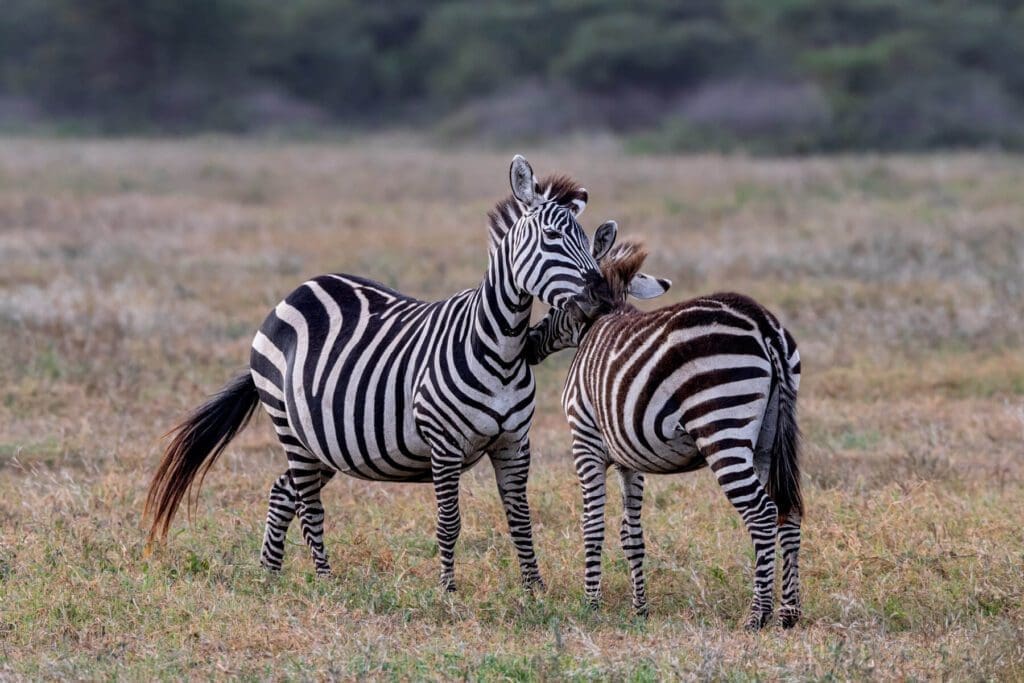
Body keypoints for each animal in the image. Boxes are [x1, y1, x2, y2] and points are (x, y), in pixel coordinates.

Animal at [143, 156, 614, 593]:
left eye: (589, 241)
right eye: (552, 237)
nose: (603, 294)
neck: (500, 346)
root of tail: (297, 291)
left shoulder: (515, 443)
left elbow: (520, 518)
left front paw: (535, 589)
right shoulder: (444, 445)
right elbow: (450, 522)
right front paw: (448, 590)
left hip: (324, 441)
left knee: (283, 491)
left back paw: (269, 574)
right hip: (290, 429)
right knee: (309, 505)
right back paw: (324, 578)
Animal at [524, 240, 802, 630]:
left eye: (554, 303)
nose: (529, 345)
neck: (599, 320)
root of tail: (761, 321)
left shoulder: (585, 440)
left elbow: (592, 524)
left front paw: (591, 604)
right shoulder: (628, 455)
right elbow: (631, 534)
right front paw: (640, 608)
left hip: (721, 426)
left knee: (762, 514)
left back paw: (757, 615)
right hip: (769, 439)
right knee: (786, 513)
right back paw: (789, 612)